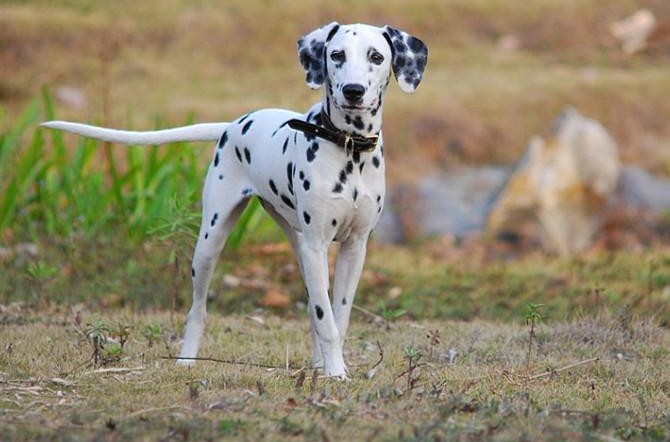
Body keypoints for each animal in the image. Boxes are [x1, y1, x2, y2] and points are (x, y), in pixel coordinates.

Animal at [43, 22, 430, 378]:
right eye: (336, 55)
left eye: (376, 57)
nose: (353, 91)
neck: (348, 147)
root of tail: (233, 124)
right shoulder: (318, 244)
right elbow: (327, 320)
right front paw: (335, 374)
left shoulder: (354, 248)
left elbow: (338, 315)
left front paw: (332, 368)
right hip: (211, 243)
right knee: (198, 309)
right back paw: (187, 359)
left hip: (299, 247)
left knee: (310, 308)